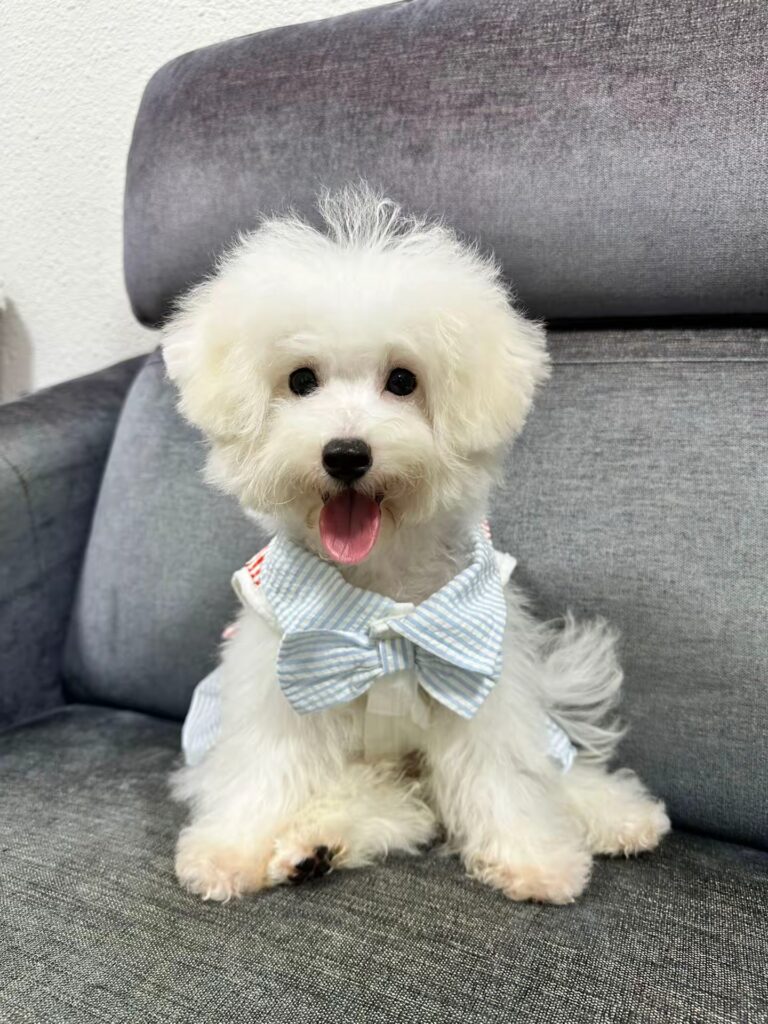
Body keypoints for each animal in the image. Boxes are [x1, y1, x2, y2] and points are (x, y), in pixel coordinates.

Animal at [163, 185, 669, 903]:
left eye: (403, 381)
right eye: (301, 381)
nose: (346, 454)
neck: (382, 594)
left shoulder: (481, 675)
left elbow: (503, 771)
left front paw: (534, 858)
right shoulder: (283, 676)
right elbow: (264, 765)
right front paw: (228, 851)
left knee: (546, 769)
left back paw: (618, 814)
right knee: (394, 802)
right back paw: (316, 844)